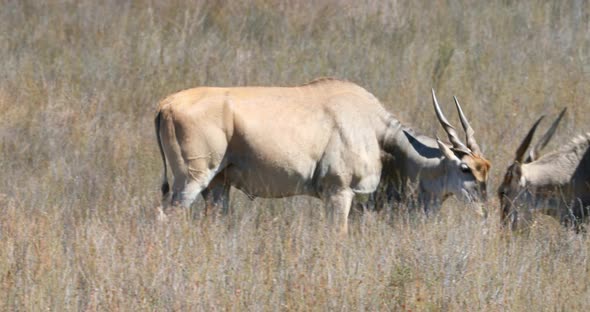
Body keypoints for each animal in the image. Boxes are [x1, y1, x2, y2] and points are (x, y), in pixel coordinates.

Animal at [155, 79, 492, 233]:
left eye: (486, 168)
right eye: (466, 168)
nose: (485, 211)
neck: (378, 132)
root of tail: (166, 104)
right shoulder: (339, 193)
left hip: (217, 187)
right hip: (192, 180)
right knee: (166, 216)